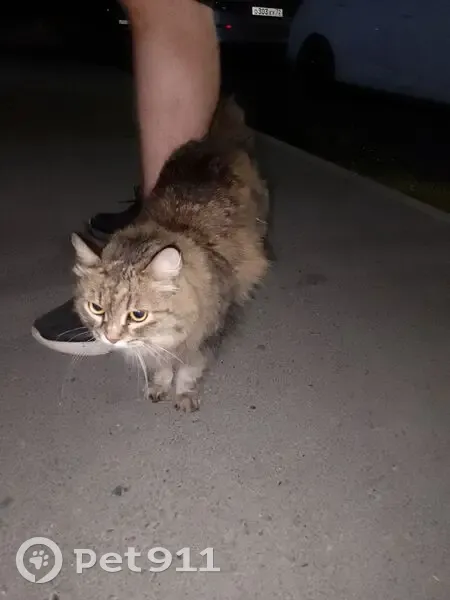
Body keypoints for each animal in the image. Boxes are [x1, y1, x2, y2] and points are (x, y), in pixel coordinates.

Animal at [72, 98, 270, 412]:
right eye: (96, 308)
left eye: (137, 315)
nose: (111, 338)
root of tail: (215, 139)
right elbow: (163, 368)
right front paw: (160, 385)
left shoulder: (204, 339)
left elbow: (189, 369)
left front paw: (184, 393)